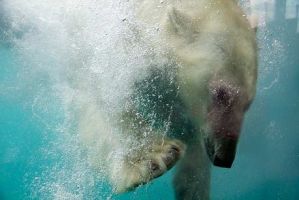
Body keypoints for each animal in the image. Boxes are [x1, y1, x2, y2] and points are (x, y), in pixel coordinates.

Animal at [78, 0, 258, 199]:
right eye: (220, 93)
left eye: (248, 103)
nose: (224, 157)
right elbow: (113, 93)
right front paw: (154, 158)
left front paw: (192, 187)